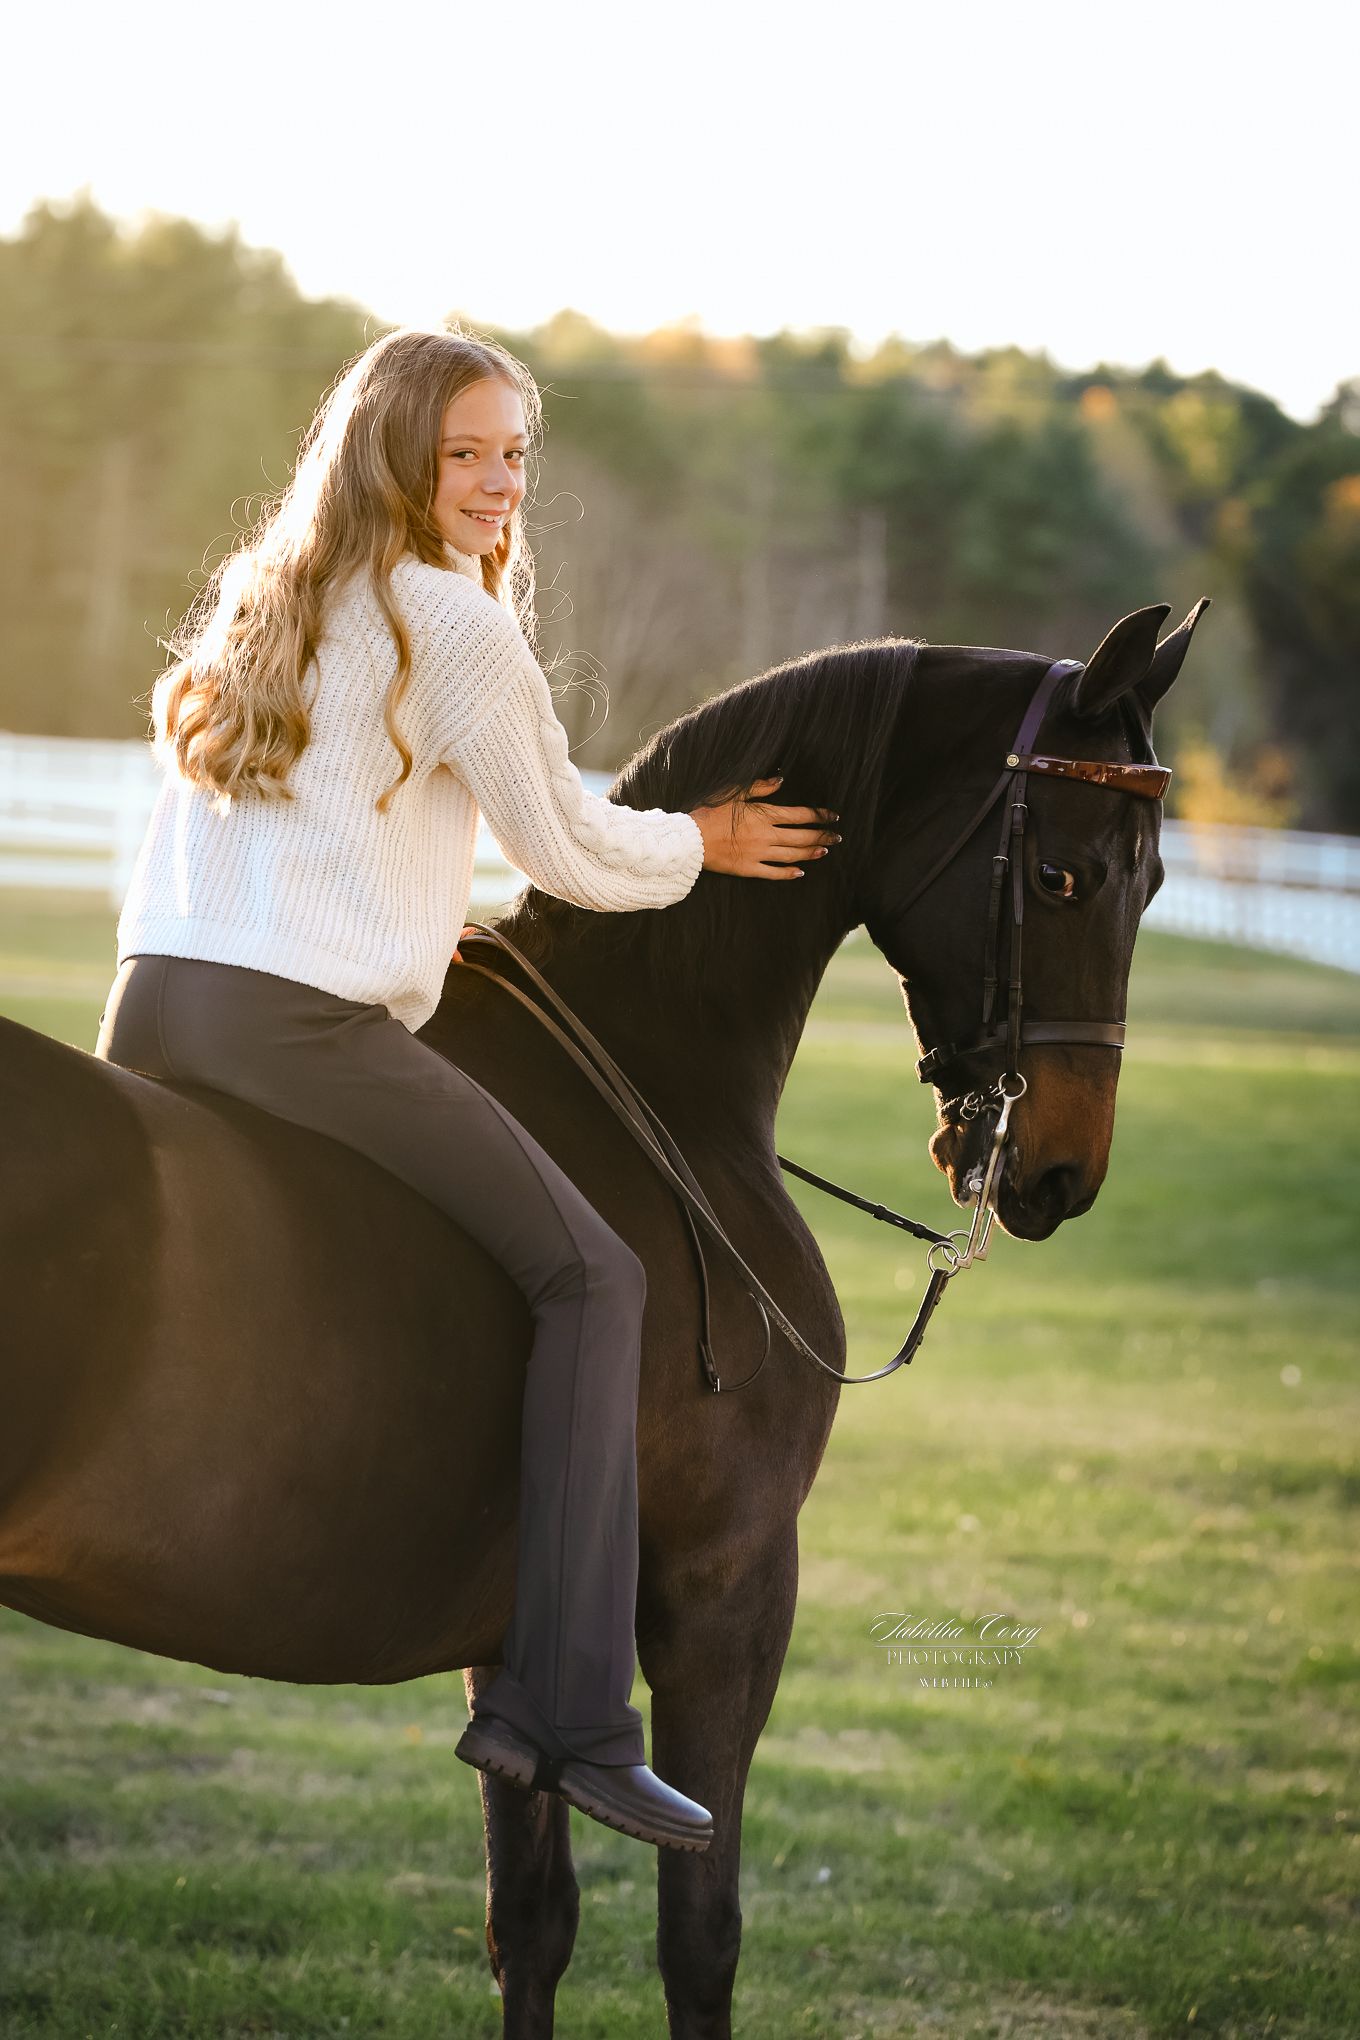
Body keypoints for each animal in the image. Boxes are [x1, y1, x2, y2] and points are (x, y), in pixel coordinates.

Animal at [0, 596, 1206, 2037]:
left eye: (1154, 884)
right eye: (1065, 879)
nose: (1062, 1173)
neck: (657, 1078)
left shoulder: (526, 1644)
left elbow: (531, 1920)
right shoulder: (726, 1589)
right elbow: (700, 1932)